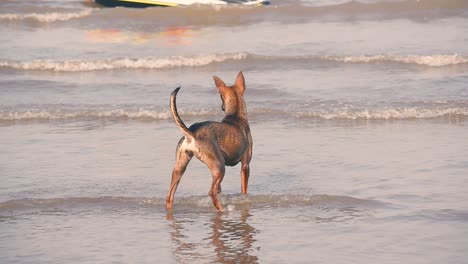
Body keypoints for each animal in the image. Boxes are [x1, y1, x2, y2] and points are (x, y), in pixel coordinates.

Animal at [165, 71, 252, 211]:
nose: (222, 107)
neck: (235, 116)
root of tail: (192, 133)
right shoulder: (245, 165)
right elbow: (244, 190)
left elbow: (219, 189)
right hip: (220, 167)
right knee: (211, 192)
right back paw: (222, 209)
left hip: (180, 167)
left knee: (169, 196)